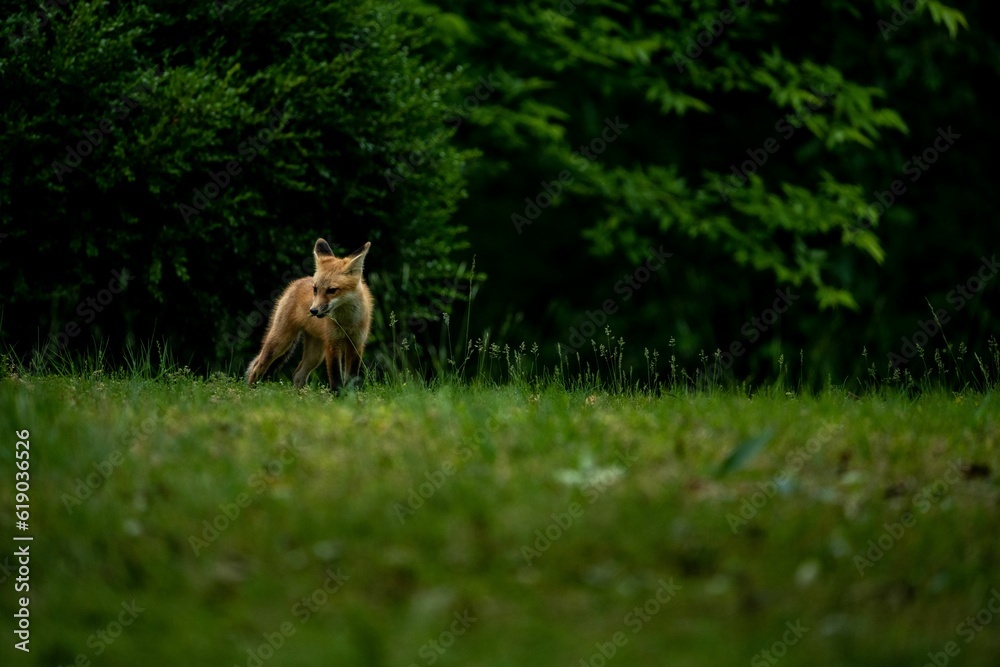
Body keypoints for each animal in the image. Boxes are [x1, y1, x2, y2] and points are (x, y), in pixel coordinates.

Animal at [247, 238, 373, 390]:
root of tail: (296, 282)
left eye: (332, 290)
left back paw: (299, 395)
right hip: (281, 342)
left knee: (298, 374)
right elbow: (335, 378)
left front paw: (351, 395)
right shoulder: (332, 344)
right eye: (315, 289)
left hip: (315, 354)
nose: (313, 311)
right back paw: (251, 391)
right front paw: (338, 395)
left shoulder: (356, 344)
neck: (346, 322)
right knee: (257, 367)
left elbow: (352, 378)